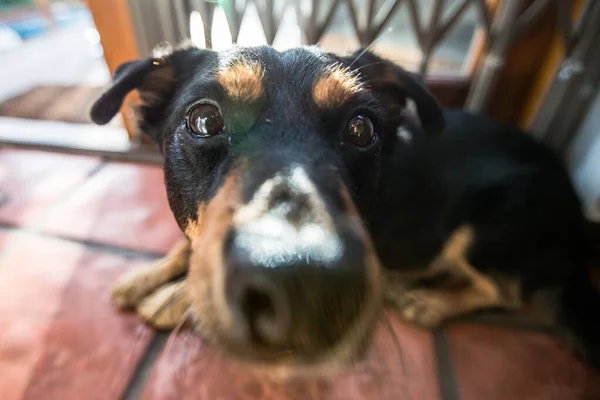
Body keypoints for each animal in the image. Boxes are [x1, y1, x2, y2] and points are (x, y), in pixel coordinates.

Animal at [90, 45, 600, 376]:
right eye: (204, 119)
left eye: (361, 128)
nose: (304, 292)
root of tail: (578, 213)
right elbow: (186, 248)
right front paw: (148, 276)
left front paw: (172, 296)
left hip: (490, 225)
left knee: (503, 290)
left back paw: (430, 301)